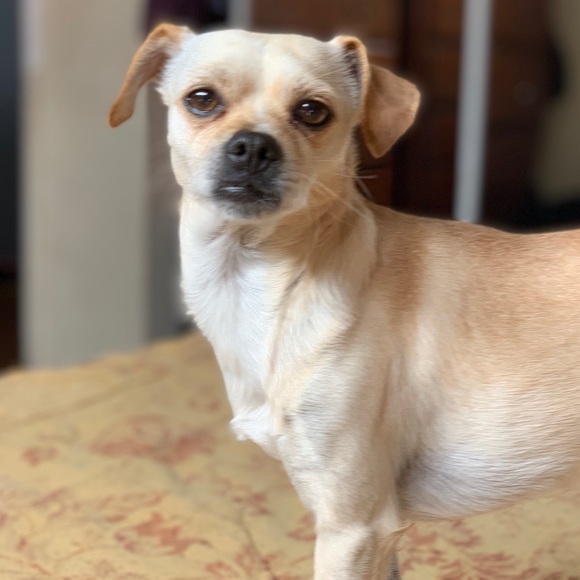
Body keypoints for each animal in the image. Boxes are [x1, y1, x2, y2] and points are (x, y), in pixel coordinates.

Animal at [110, 25, 580, 579]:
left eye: (313, 111)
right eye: (202, 99)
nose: (253, 146)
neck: (258, 283)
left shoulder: (353, 527)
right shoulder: (378, 535)